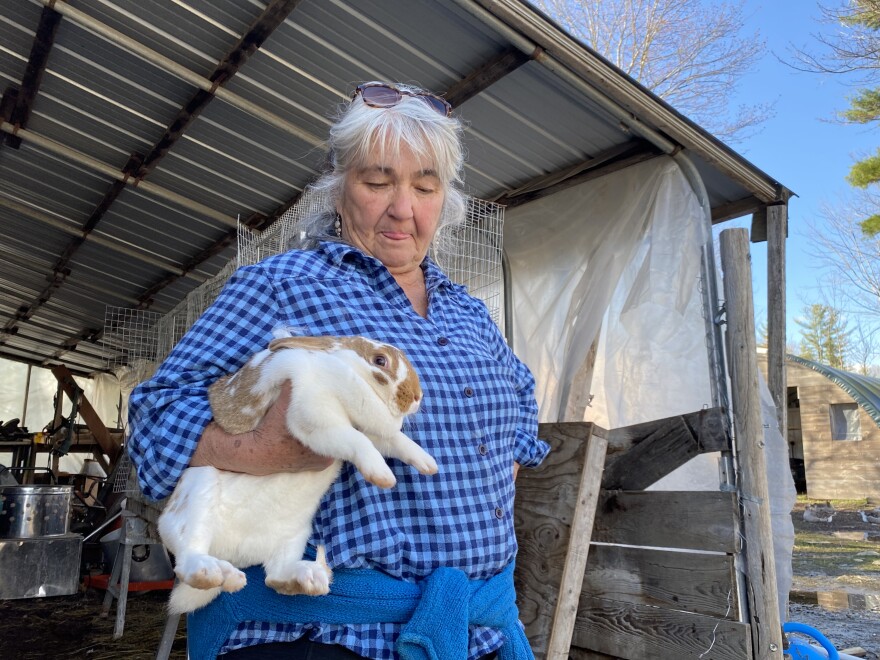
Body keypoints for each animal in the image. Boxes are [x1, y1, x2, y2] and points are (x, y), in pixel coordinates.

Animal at [156, 332, 438, 616]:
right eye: (380, 360)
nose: (417, 397)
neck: (347, 374)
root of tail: (231, 554)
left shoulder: (372, 431)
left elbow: (396, 441)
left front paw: (428, 464)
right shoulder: (315, 415)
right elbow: (356, 440)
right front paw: (383, 475)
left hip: (296, 533)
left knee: (275, 578)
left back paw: (307, 577)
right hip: (198, 493)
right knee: (189, 559)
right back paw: (214, 572)